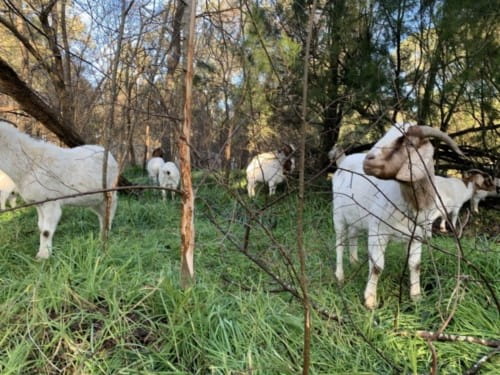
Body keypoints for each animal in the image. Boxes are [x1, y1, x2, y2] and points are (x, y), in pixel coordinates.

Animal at [0, 119, 118, 258]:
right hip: (95, 198)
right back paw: (101, 238)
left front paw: (43, 256)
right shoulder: (38, 202)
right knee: (102, 215)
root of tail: (110, 155)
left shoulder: (50, 200)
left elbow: (46, 231)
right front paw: (42, 252)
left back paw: (105, 240)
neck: (27, 163)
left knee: (109, 212)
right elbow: (41, 227)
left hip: (109, 191)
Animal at [334, 124, 462, 312]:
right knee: (339, 243)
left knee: (353, 235)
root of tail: (342, 161)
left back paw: (355, 262)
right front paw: (370, 301)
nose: (368, 160)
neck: (411, 203)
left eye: (408, 142)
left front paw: (416, 297)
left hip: (356, 217)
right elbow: (377, 266)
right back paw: (340, 275)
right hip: (338, 215)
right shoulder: (378, 230)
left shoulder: (417, 235)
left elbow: (415, 265)